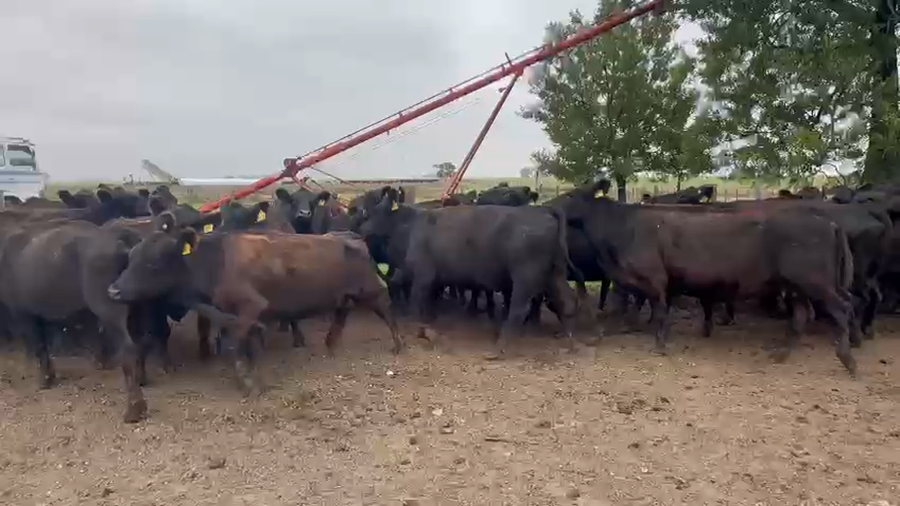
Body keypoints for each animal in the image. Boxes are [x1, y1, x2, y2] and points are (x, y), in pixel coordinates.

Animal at [107, 213, 404, 395]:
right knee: (342, 313)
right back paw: (331, 344)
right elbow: (244, 342)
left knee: (386, 308)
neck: (217, 261)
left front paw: (247, 381)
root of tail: (348, 236)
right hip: (344, 295)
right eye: (132, 256)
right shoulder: (232, 313)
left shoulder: (251, 307)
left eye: (153, 262)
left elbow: (236, 344)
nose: (114, 290)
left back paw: (398, 343)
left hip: (370, 289)